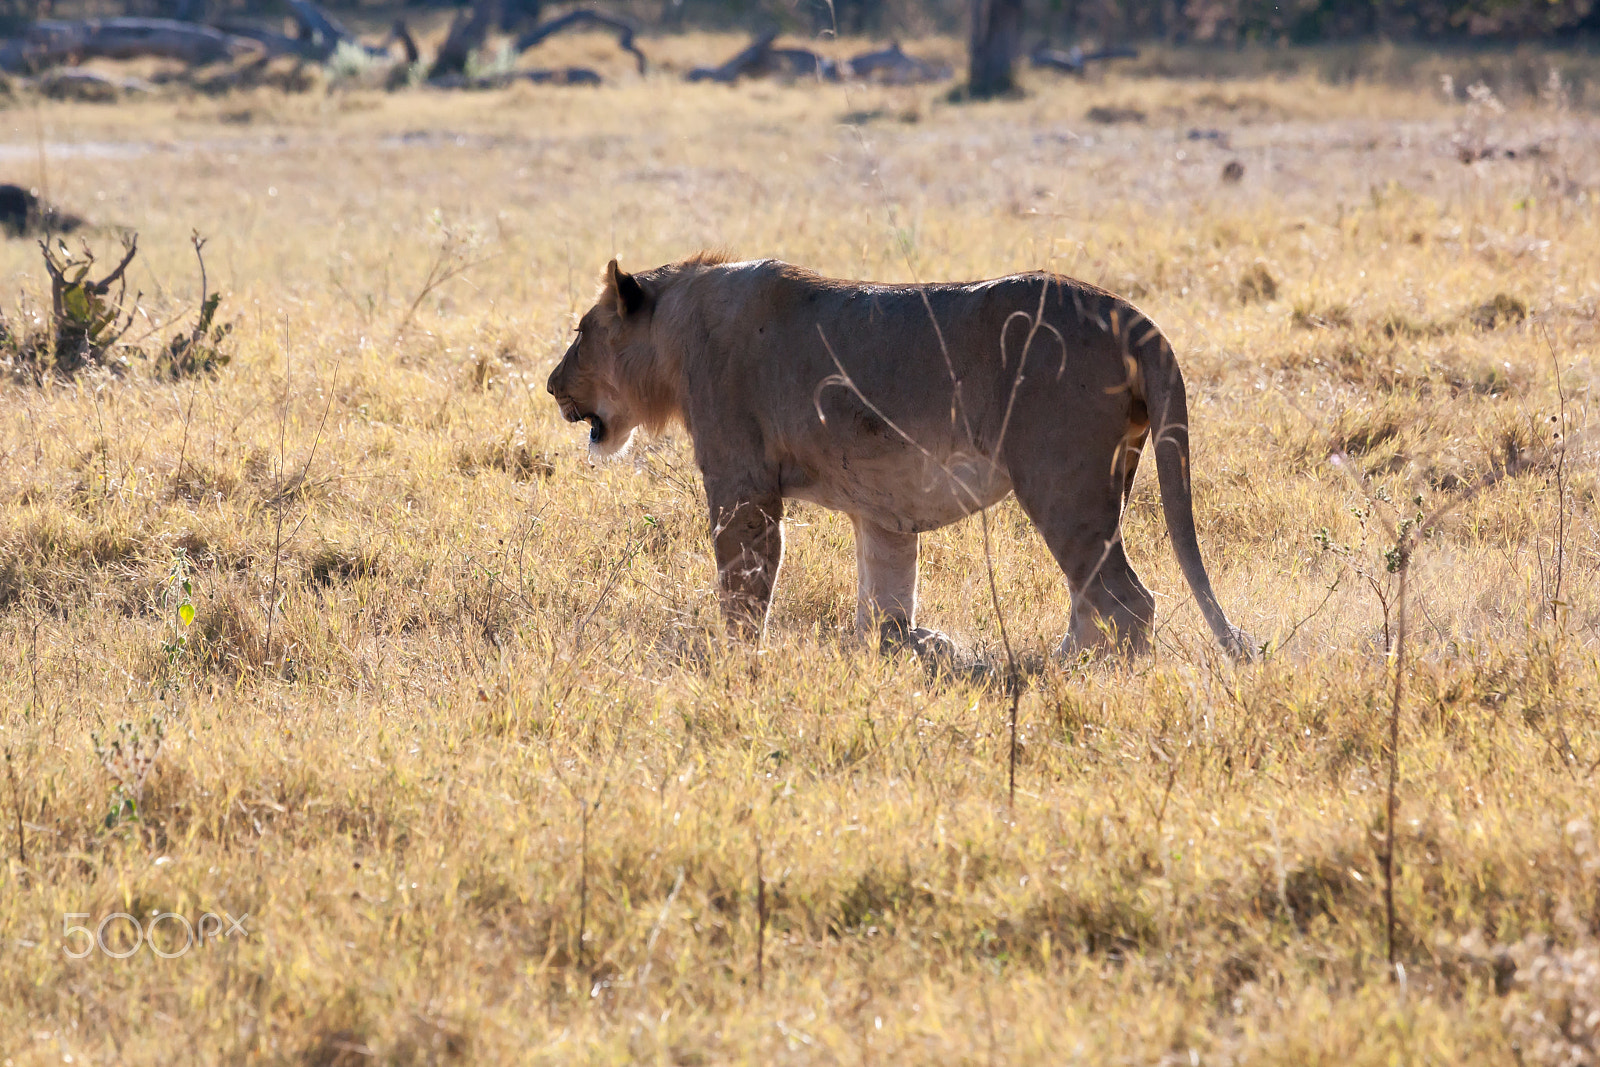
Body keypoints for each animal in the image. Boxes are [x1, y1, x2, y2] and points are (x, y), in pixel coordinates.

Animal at [546, 253, 1251, 659]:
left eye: (581, 332)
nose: (551, 385)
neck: (673, 333)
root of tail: (1132, 315)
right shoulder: (881, 510)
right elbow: (885, 594)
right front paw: (884, 656)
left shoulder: (741, 483)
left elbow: (743, 589)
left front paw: (736, 662)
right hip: (1108, 485)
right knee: (1094, 599)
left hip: (1063, 488)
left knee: (1127, 603)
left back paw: (1069, 679)